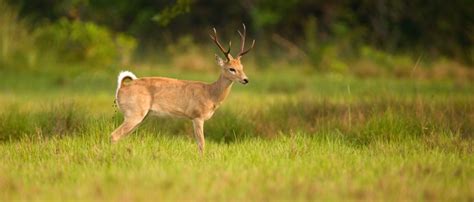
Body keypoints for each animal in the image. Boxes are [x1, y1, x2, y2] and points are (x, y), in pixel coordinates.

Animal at [111, 23, 256, 153]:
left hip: (139, 116)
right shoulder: (197, 116)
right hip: (134, 113)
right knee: (114, 135)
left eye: (241, 67)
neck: (210, 93)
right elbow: (201, 144)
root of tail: (121, 87)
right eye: (231, 68)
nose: (246, 79)